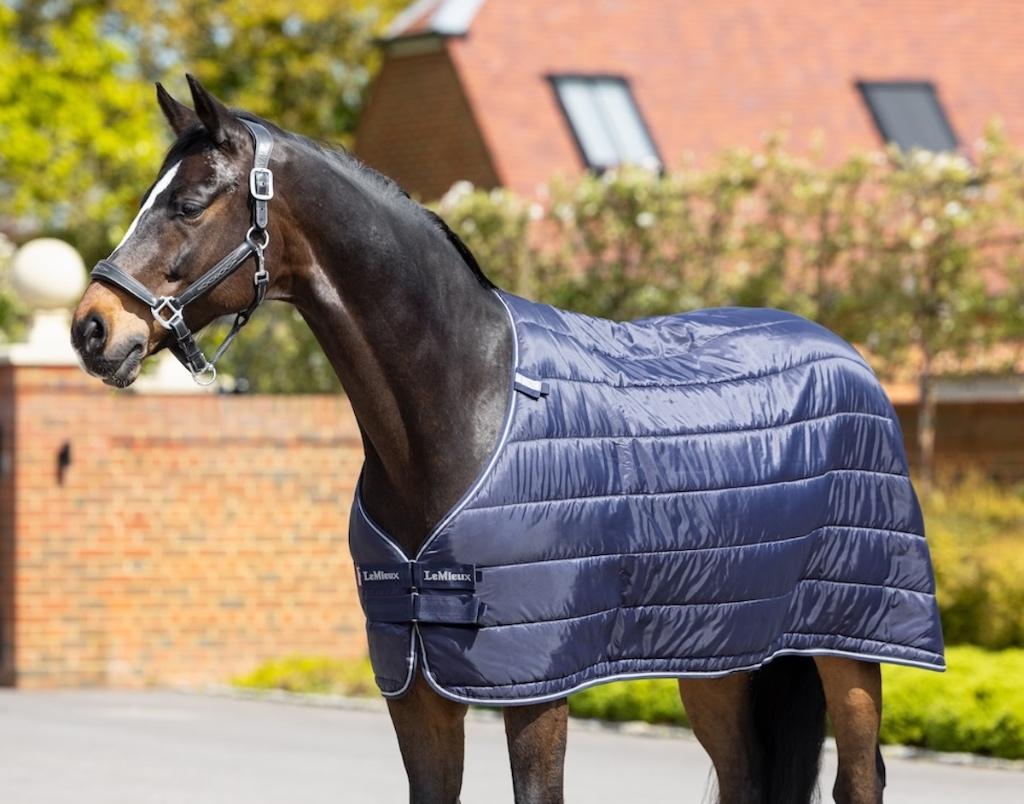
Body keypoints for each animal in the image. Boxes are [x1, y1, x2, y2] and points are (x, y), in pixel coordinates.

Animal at [70, 76, 943, 804]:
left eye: (190, 203)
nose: (92, 329)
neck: (465, 401)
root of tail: (844, 353)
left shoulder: (533, 688)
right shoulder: (416, 687)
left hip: (853, 648)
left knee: (858, 781)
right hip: (719, 654)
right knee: (745, 778)